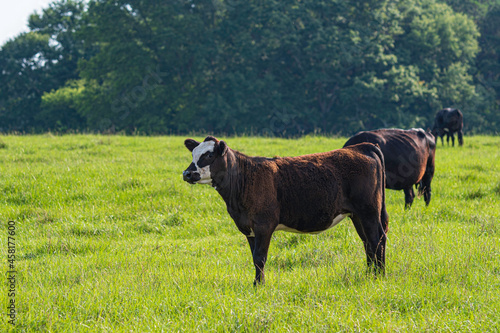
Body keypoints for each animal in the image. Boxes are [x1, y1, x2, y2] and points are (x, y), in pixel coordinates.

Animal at [182, 136, 388, 284]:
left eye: (209, 155)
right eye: (193, 154)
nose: (187, 173)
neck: (244, 179)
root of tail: (362, 147)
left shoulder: (264, 225)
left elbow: (260, 257)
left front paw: (259, 286)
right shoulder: (249, 229)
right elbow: (254, 257)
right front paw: (257, 283)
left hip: (369, 211)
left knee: (377, 239)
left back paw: (379, 276)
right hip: (357, 215)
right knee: (367, 243)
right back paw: (369, 274)